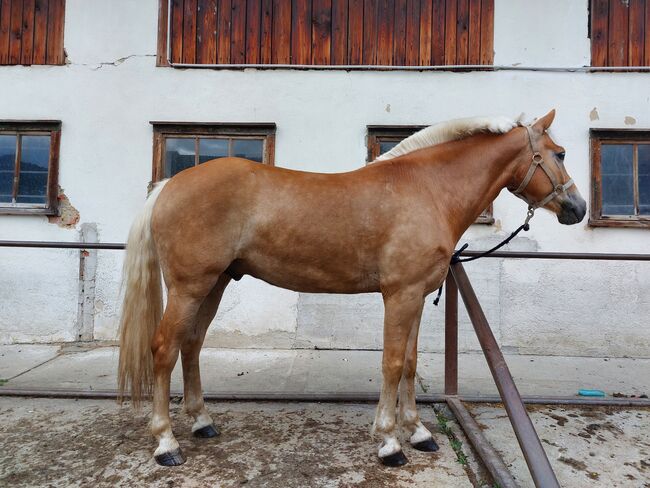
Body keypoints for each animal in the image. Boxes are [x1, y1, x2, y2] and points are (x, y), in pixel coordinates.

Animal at [117, 108, 588, 468]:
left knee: (191, 345)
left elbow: (411, 364)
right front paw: (390, 442)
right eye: (560, 153)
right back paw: (166, 443)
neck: (429, 190)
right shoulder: (399, 295)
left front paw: (418, 432)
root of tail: (170, 185)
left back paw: (202, 422)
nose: (578, 208)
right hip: (189, 287)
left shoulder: (417, 296)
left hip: (212, 285)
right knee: (165, 348)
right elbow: (393, 364)